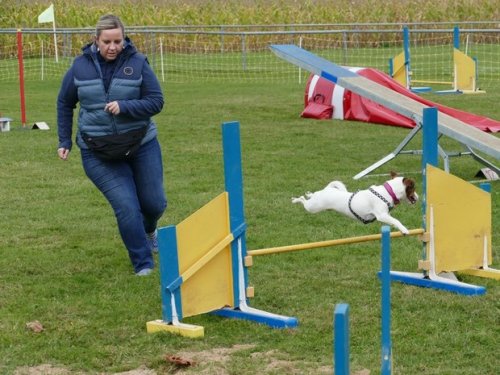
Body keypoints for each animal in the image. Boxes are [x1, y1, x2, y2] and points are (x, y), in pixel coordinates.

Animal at [292, 173, 420, 235]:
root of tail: (327, 189)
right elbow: (396, 220)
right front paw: (404, 230)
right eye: (414, 188)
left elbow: (393, 221)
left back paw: (309, 194)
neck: (388, 192)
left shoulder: (385, 215)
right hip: (313, 207)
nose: (418, 197)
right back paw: (296, 199)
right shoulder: (382, 215)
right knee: (304, 200)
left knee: (311, 195)